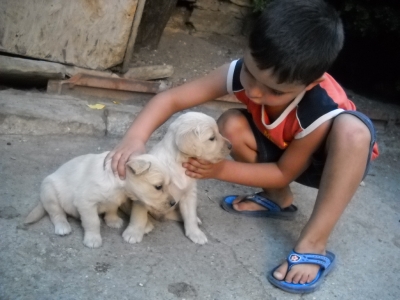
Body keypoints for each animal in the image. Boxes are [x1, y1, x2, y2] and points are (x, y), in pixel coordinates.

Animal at [24, 152, 175, 248]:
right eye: (158, 187)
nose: (174, 203)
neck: (119, 185)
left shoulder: (124, 198)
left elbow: (114, 209)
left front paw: (113, 220)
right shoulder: (86, 202)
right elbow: (93, 222)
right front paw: (93, 239)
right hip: (50, 192)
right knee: (56, 214)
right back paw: (63, 226)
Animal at [128, 111, 231, 245]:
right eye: (212, 138)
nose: (231, 146)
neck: (178, 163)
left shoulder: (189, 193)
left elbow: (190, 215)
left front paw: (195, 233)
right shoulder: (143, 192)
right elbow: (139, 214)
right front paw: (134, 232)